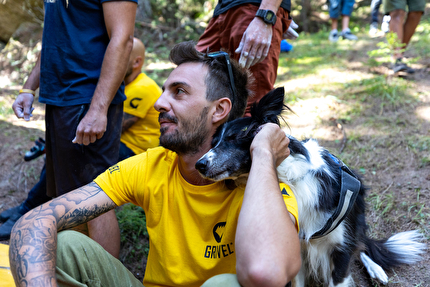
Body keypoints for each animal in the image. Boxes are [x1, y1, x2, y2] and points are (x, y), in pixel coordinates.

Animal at [197, 88, 424, 287]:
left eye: (234, 137)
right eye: (213, 142)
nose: (199, 164)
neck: (289, 178)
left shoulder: (340, 250)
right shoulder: (297, 249)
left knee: (361, 244)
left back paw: (376, 269)